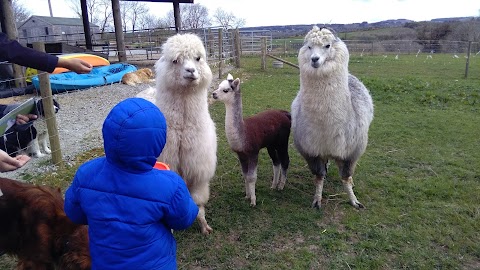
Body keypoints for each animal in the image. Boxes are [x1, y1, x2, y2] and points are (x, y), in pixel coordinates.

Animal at [153, 32, 217, 234]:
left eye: (198, 58)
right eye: (175, 60)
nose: (191, 71)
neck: (182, 132)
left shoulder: (198, 171)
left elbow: (198, 203)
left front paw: (204, 226)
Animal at [290, 25, 374, 209]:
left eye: (327, 45)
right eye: (308, 46)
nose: (314, 59)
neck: (326, 125)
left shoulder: (351, 152)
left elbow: (346, 177)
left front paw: (354, 201)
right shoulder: (311, 151)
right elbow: (319, 176)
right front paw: (317, 200)